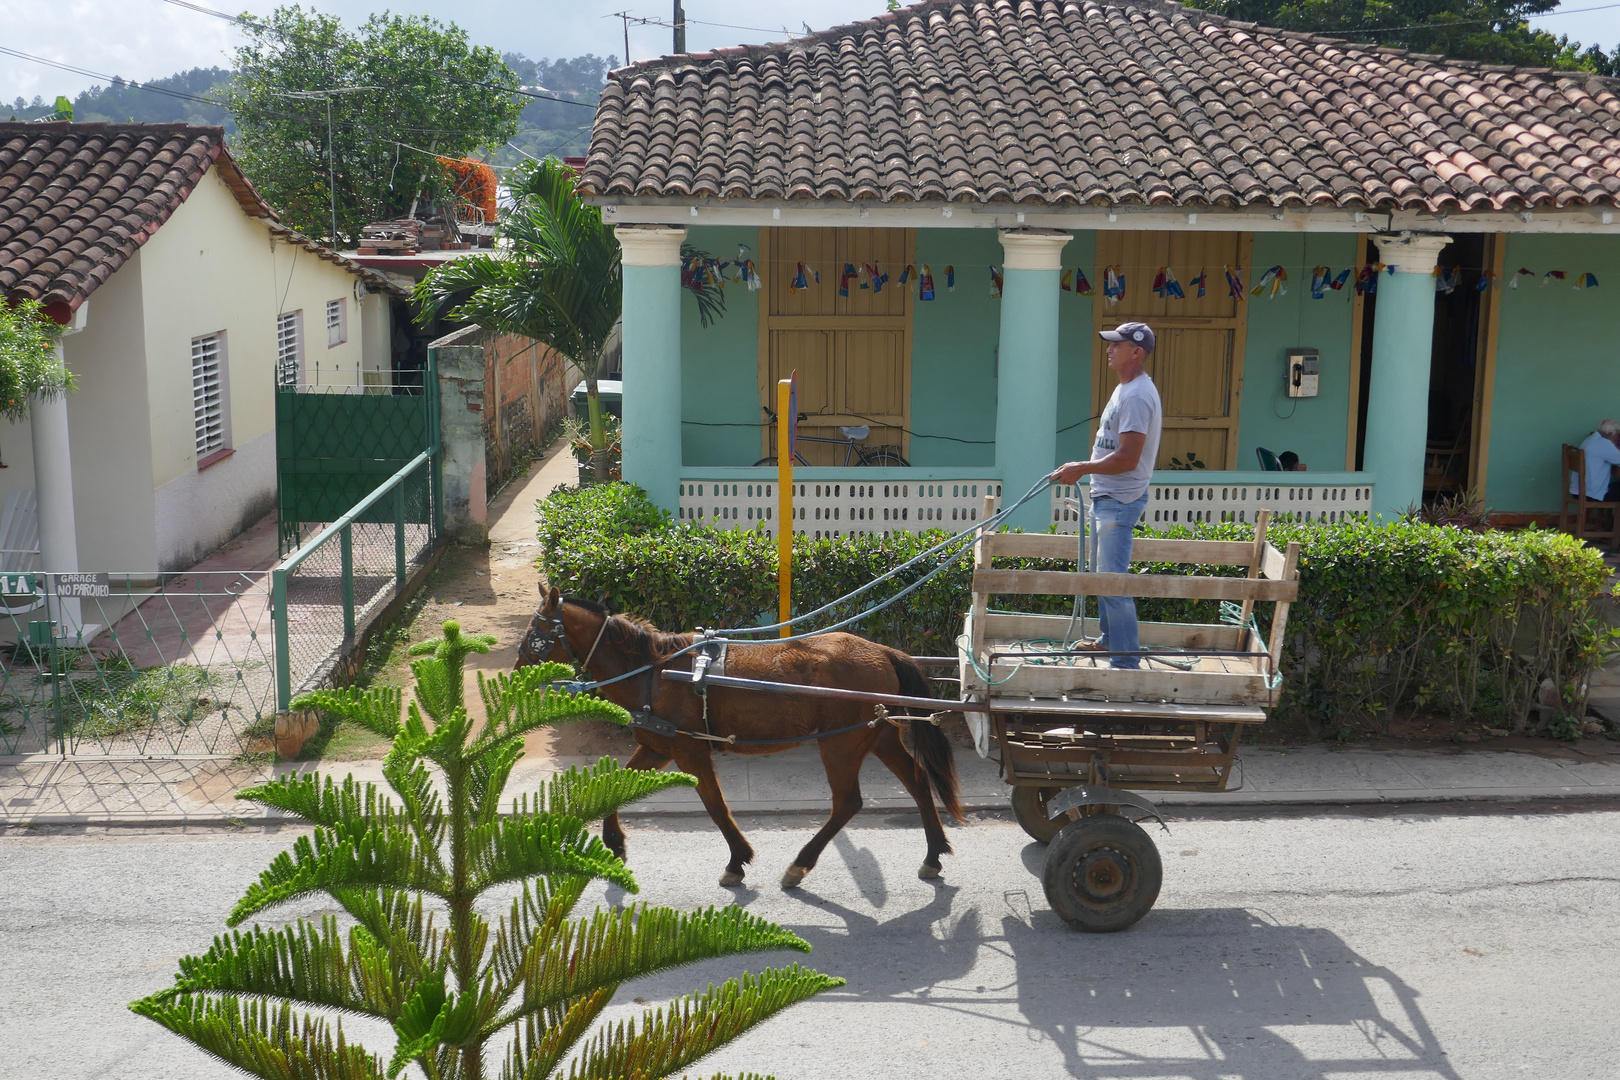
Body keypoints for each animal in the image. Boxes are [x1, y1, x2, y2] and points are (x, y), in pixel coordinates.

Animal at [518, 592, 959, 887]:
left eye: (537, 629)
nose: (521, 666)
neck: (652, 671)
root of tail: (882, 651)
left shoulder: (689, 750)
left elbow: (715, 806)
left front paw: (737, 860)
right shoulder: (659, 746)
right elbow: (616, 784)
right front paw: (614, 842)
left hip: (841, 743)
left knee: (848, 802)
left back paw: (800, 864)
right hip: (878, 733)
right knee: (917, 780)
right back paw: (933, 854)